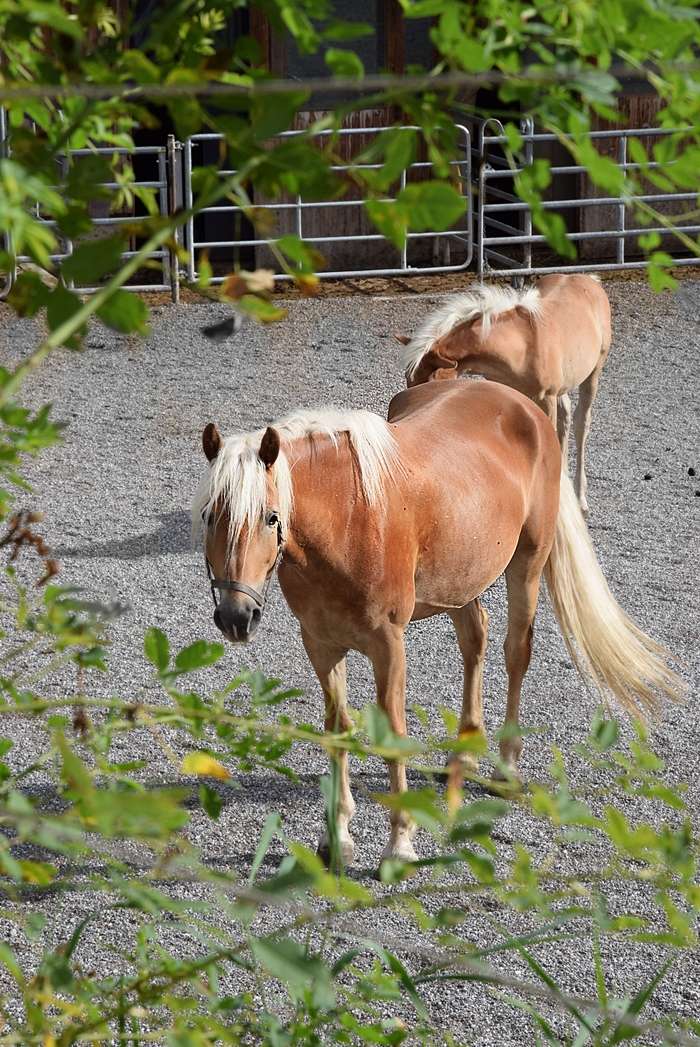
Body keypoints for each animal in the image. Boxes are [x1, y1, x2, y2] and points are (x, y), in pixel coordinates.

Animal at [192, 381, 682, 862]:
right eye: (209, 515)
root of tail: (523, 404)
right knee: (475, 640)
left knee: (516, 652)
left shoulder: (388, 644)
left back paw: (506, 767)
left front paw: (400, 842)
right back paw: (464, 752)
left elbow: (392, 733)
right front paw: (337, 837)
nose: (236, 616)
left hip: (527, 565)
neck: (347, 519)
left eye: (270, 517)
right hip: (461, 579)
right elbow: (339, 730)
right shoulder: (320, 643)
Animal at [397, 272, 611, 513]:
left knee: (581, 422)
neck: (521, 346)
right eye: (408, 379)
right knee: (565, 415)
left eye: (432, 380)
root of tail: (589, 279)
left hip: (592, 375)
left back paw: (580, 497)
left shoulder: (545, 399)